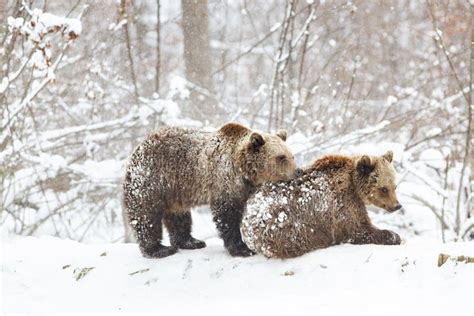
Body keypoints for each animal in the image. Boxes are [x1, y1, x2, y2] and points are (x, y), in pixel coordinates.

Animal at [124, 122, 298, 258]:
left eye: (292, 155)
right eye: (281, 157)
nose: (297, 171)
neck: (244, 171)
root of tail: (139, 147)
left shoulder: (244, 188)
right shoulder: (225, 180)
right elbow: (227, 215)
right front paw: (242, 248)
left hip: (175, 190)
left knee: (179, 216)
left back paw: (191, 241)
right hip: (152, 180)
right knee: (146, 215)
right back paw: (158, 249)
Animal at [243, 151, 402, 260]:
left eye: (395, 186)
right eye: (384, 189)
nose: (397, 205)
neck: (354, 186)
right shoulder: (341, 203)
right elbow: (359, 229)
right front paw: (393, 235)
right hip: (287, 226)